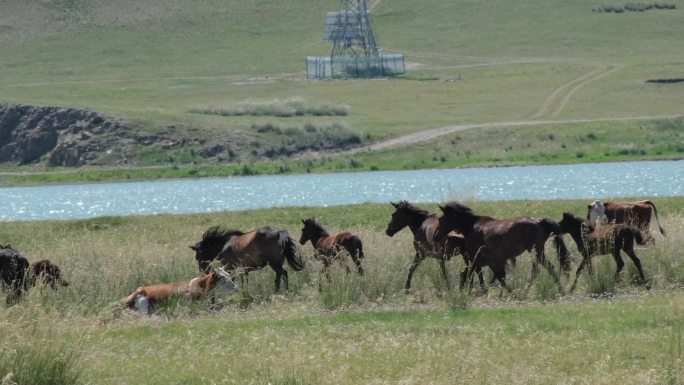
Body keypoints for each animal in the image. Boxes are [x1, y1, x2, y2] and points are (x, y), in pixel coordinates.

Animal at [432, 202, 572, 290]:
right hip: (538, 251)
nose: (435, 235)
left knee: (543, 269)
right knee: (548, 268)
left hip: (536, 250)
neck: (472, 227)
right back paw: (560, 289)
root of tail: (540, 221)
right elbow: (492, 276)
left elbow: (481, 276)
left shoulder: (477, 259)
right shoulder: (486, 260)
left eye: (441, 220)